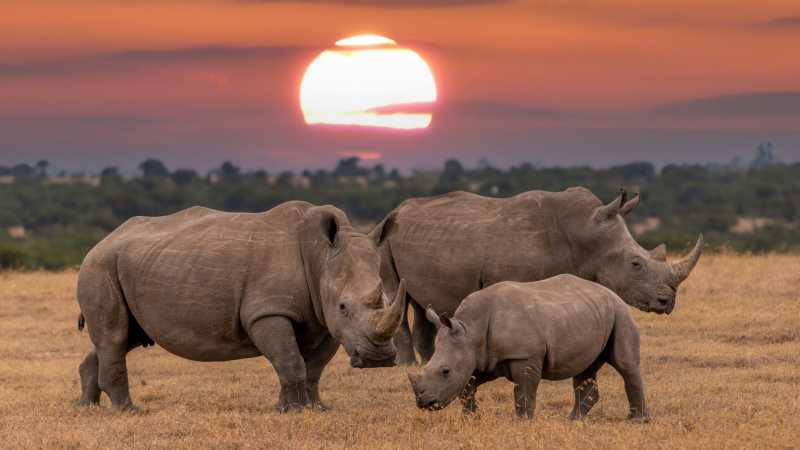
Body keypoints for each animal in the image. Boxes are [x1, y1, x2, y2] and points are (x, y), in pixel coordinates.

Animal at [75, 202, 404, 412]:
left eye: (389, 300)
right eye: (344, 306)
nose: (379, 359)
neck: (320, 258)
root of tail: (104, 240)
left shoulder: (323, 319)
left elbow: (313, 368)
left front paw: (314, 408)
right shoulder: (268, 311)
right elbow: (290, 360)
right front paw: (294, 410)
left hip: (130, 265)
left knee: (124, 338)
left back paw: (86, 406)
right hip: (99, 265)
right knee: (115, 336)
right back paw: (128, 411)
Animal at [372, 187, 703, 365]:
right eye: (635, 264)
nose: (667, 302)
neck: (586, 233)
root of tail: (395, 211)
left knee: (421, 301)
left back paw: (429, 361)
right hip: (385, 241)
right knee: (397, 295)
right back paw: (406, 366)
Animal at [408, 274, 649, 421]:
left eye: (445, 371)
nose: (424, 403)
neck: (470, 330)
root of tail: (610, 292)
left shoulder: (524, 356)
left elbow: (524, 391)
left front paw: (522, 422)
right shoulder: (481, 358)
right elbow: (467, 388)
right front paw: (471, 418)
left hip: (620, 312)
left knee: (626, 365)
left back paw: (636, 421)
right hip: (591, 313)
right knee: (585, 369)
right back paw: (573, 421)